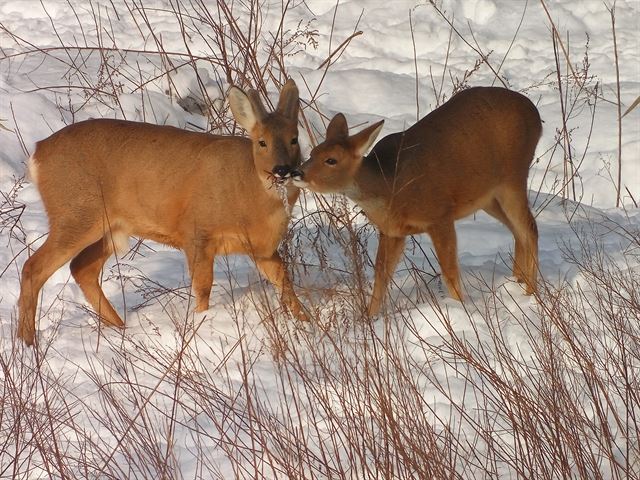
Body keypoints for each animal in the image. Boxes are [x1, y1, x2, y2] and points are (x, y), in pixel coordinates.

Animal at [18, 80, 308, 346]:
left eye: (294, 139)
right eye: (262, 142)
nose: (282, 170)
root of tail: (37, 154)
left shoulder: (263, 249)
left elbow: (284, 278)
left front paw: (305, 323)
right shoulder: (196, 232)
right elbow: (203, 287)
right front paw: (202, 322)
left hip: (111, 226)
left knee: (81, 267)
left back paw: (121, 330)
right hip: (75, 213)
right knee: (34, 266)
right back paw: (28, 342)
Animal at [294, 85, 540, 316]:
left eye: (331, 160)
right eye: (312, 153)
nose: (297, 173)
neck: (389, 188)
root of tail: (535, 113)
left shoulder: (440, 214)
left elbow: (449, 272)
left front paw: (461, 307)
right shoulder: (392, 231)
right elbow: (381, 275)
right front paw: (369, 317)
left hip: (513, 176)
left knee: (530, 228)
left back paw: (531, 295)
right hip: (489, 196)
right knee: (517, 231)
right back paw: (516, 284)